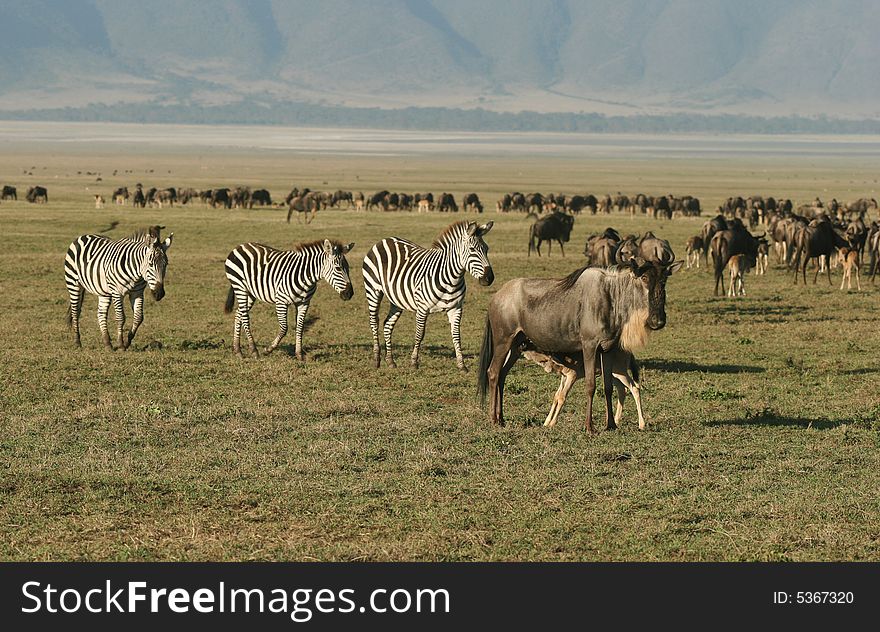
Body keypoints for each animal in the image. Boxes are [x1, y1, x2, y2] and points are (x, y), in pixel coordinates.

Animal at [222, 239, 356, 358]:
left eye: (348, 267)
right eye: (338, 268)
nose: (349, 294)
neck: (306, 277)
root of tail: (241, 246)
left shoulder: (304, 303)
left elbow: (300, 328)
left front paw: (299, 354)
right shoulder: (281, 301)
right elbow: (284, 328)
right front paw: (269, 349)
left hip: (250, 293)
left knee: (238, 313)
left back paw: (238, 350)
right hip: (240, 287)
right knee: (245, 317)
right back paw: (254, 350)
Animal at [360, 221, 496, 372]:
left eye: (487, 249)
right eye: (472, 249)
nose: (489, 278)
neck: (452, 278)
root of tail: (384, 240)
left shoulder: (456, 308)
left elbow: (456, 335)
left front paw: (462, 365)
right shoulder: (422, 308)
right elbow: (419, 334)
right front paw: (414, 362)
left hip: (397, 299)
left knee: (388, 324)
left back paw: (390, 361)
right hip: (373, 290)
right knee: (374, 322)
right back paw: (376, 359)